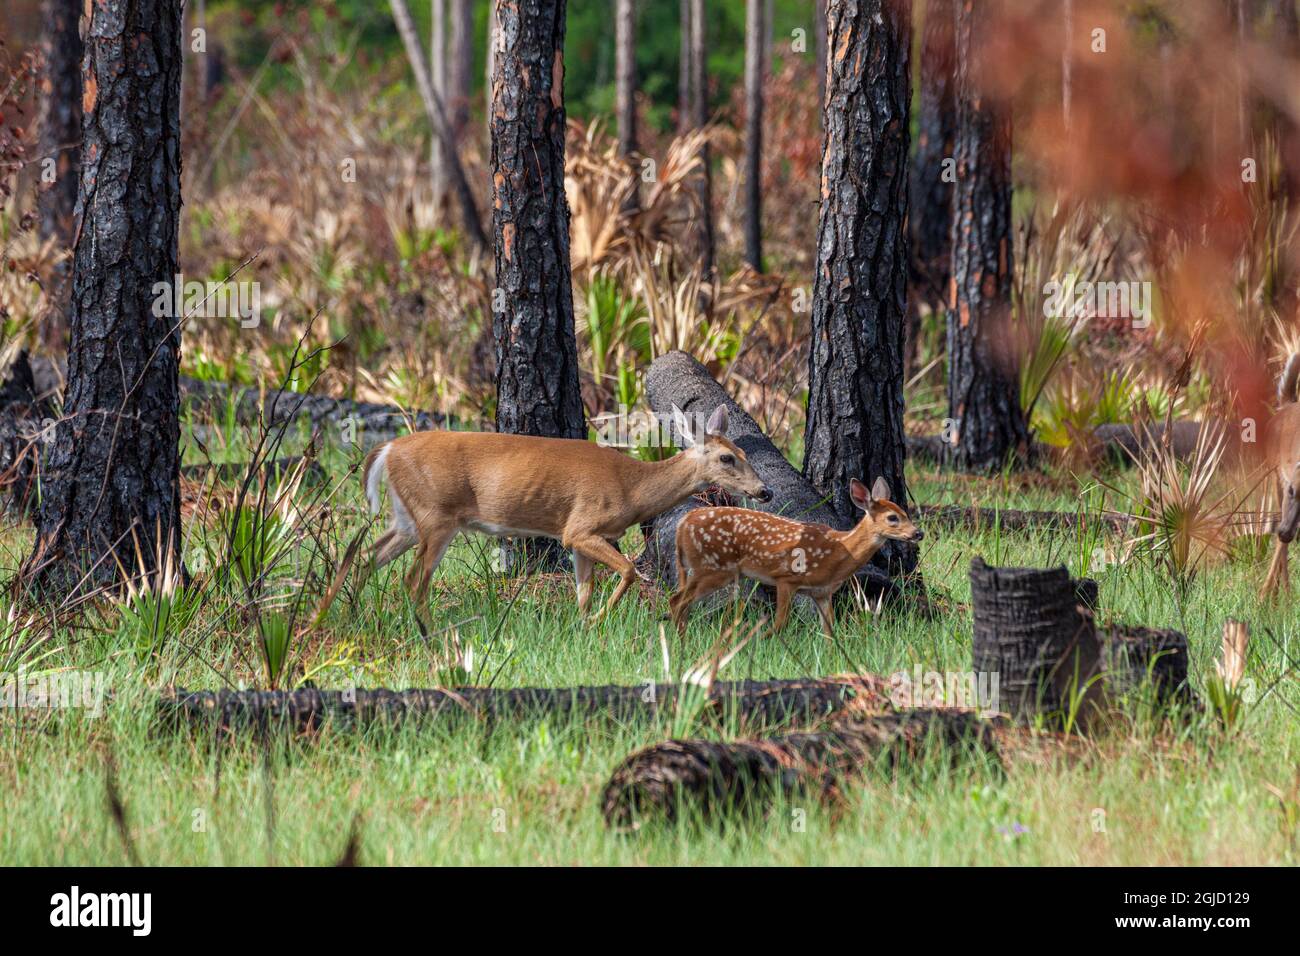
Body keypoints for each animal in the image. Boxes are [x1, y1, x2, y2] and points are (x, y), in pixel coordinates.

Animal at [315, 404, 771, 628]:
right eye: (727, 457)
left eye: (745, 451)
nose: (764, 491)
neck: (632, 487)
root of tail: (387, 449)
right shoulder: (579, 527)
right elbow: (627, 571)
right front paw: (602, 618)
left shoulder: (582, 540)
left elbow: (584, 591)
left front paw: (585, 625)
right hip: (436, 515)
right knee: (412, 579)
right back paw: (433, 635)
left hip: (406, 519)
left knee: (361, 554)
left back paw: (341, 614)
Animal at [669, 476, 922, 638]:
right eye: (892, 518)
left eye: (905, 512)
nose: (918, 533)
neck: (838, 552)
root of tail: (683, 524)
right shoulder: (786, 579)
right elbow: (780, 624)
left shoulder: (821, 592)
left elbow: (829, 631)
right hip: (713, 567)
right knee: (678, 600)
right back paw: (679, 642)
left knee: (681, 600)